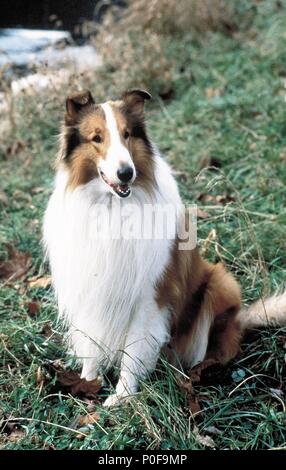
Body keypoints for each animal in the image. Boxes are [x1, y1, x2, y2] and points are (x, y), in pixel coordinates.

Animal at [43, 90, 286, 406]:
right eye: (97, 137)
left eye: (127, 134)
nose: (126, 173)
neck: (111, 209)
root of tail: (240, 320)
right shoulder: (89, 289)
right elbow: (91, 344)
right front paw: (87, 383)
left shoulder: (149, 297)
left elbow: (133, 352)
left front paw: (121, 397)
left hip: (220, 283)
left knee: (217, 350)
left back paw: (197, 372)